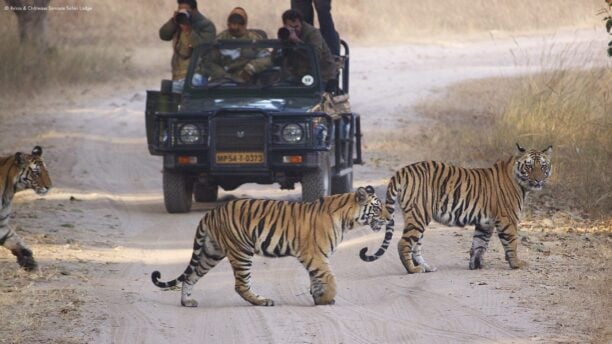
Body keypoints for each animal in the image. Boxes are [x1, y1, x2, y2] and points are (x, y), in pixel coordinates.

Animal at [151, 187, 390, 308]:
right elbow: (330, 279)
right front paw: (326, 299)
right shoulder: (314, 255)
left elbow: (317, 280)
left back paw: (187, 301)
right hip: (241, 251)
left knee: (192, 276)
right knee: (240, 285)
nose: (390, 218)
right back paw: (262, 301)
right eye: (377, 208)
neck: (347, 219)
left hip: (212, 252)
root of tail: (211, 213)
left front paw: (319, 298)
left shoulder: (316, 258)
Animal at [360, 144, 552, 272]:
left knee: (416, 245)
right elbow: (511, 242)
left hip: (418, 217)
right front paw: (517, 264)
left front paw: (476, 265)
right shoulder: (507, 218)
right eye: (529, 166)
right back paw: (413, 270)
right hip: (419, 214)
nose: (538, 180)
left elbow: (479, 244)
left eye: (543, 166)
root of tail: (402, 171)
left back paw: (426, 267)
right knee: (404, 243)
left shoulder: (486, 222)